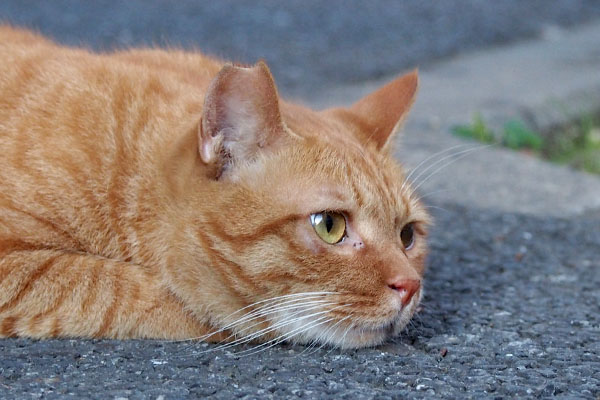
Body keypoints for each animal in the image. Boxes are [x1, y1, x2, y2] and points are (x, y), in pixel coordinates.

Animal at [1, 26, 432, 348]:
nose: (410, 286)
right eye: (330, 225)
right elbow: (115, 287)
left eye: (407, 235)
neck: (119, 170)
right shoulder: (15, 265)